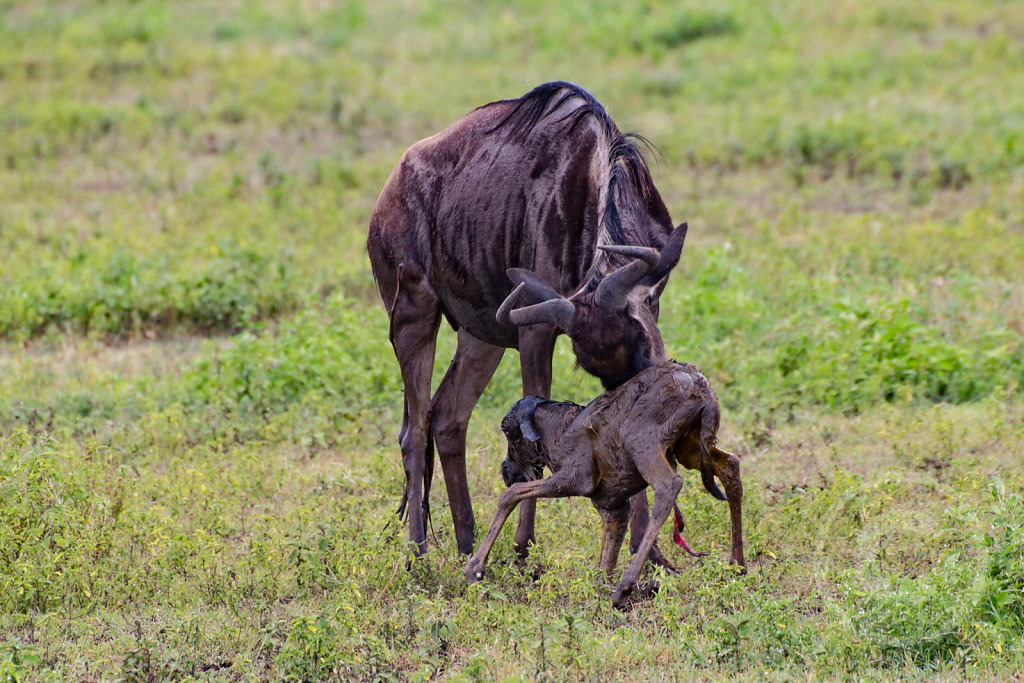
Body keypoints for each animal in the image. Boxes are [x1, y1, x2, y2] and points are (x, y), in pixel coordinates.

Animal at [464, 360, 745, 606]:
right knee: (730, 466)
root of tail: (699, 382)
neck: (555, 432)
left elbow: (511, 495)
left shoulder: (575, 479)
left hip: (642, 439)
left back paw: (626, 587)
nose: (506, 471)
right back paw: (738, 566)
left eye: (509, 433)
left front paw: (475, 569)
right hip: (691, 447)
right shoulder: (613, 508)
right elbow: (604, 566)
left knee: (669, 485)